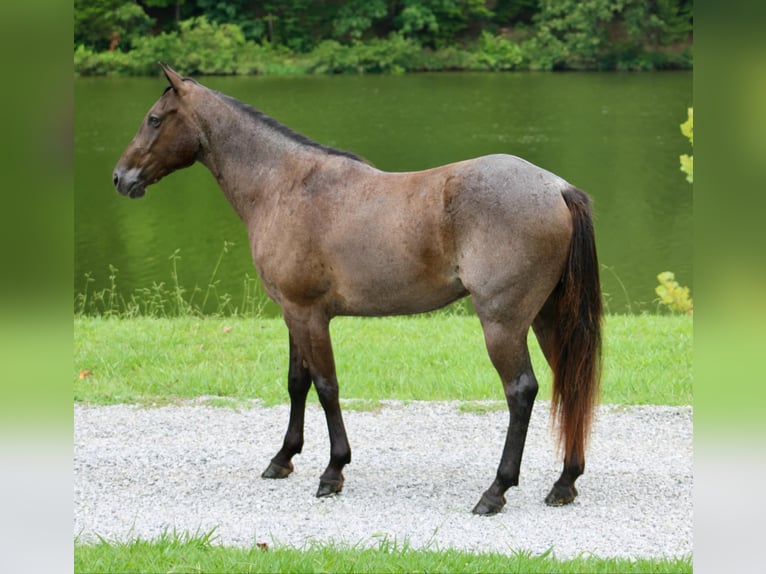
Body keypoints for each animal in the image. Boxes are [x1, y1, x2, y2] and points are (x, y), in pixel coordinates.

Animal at [115, 64, 608, 516]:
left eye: (154, 118)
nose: (121, 178)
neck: (284, 185)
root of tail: (557, 188)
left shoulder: (309, 314)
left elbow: (326, 386)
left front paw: (333, 471)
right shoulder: (292, 313)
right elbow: (297, 383)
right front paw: (283, 458)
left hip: (503, 324)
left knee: (521, 391)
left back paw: (496, 490)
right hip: (547, 317)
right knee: (569, 382)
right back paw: (565, 482)